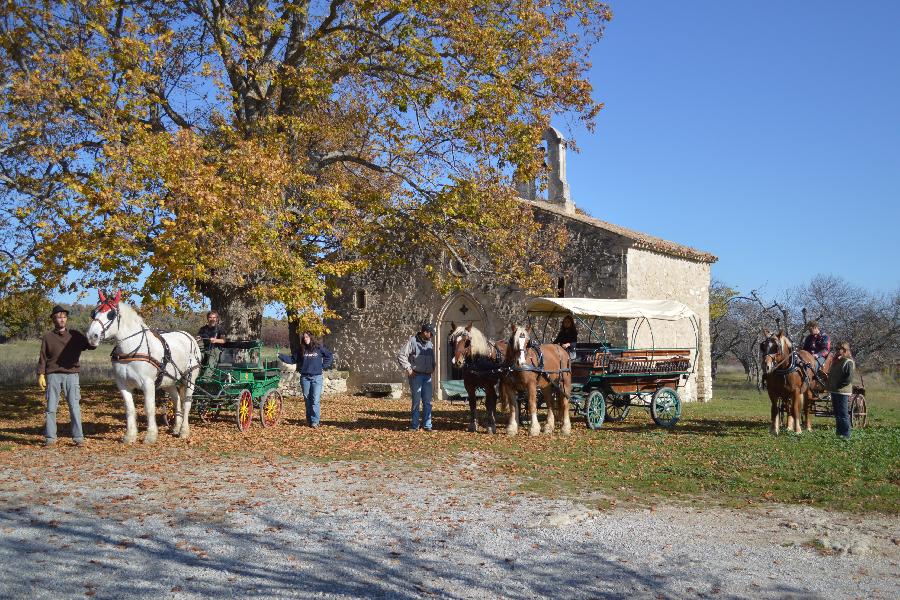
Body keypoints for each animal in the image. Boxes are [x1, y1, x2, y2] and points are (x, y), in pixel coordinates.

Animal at [85, 292, 202, 442]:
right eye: (94, 313)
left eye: (111, 314)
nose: (91, 336)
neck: (131, 350)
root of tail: (189, 336)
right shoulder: (122, 384)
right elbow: (130, 409)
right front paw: (130, 435)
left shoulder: (148, 383)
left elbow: (149, 408)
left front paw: (150, 435)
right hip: (169, 380)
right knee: (176, 400)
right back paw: (176, 427)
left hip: (190, 378)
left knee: (187, 403)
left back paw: (184, 431)